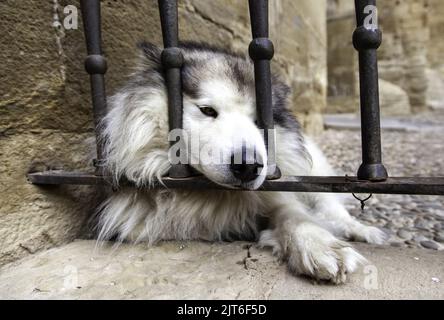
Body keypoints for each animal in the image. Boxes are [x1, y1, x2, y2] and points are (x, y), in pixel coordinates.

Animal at [96, 41, 386, 284]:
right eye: (207, 110)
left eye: (260, 122)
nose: (248, 166)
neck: (211, 194)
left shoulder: (277, 195)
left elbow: (295, 215)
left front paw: (320, 244)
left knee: (332, 208)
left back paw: (363, 230)